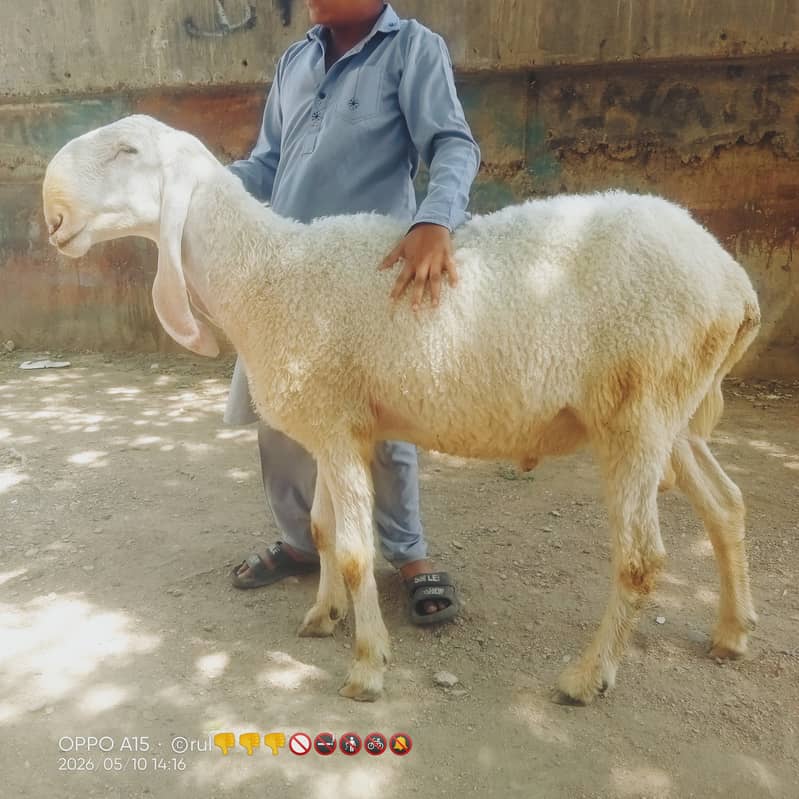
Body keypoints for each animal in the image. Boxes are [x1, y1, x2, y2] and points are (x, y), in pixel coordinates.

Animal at [42, 114, 760, 705]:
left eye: (129, 151)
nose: (51, 212)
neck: (267, 274)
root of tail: (733, 279)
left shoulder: (334, 426)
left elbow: (356, 551)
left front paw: (367, 667)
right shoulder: (337, 424)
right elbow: (323, 530)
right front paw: (323, 616)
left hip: (639, 410)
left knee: (641, 559)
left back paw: (587, 677)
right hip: (671, 412)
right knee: (725, 504)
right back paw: (731, 631)